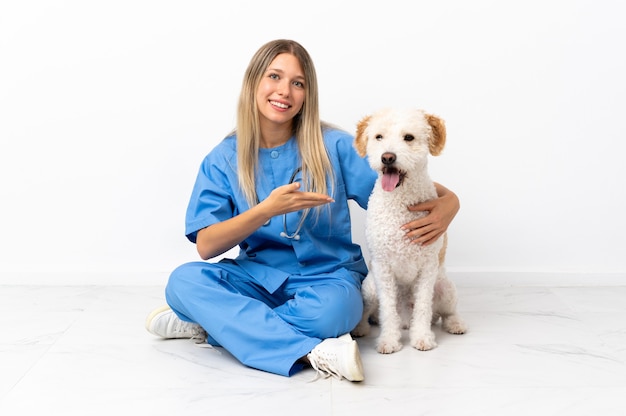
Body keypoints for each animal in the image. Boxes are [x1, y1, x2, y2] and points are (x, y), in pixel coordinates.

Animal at [352, 108, 464, 354]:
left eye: (409, 137)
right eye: (379, 137)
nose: (387, 157)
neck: (400, 202)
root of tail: (405, 318)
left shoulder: (428, 267)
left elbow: (423, 307)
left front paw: (422, 338)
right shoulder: (383, 268)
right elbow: (387, 310)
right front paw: (389, 341)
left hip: (445, 288)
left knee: (446, 312)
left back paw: (455, 324)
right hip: (369, 287)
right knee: (368, 312)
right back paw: (361, 328)